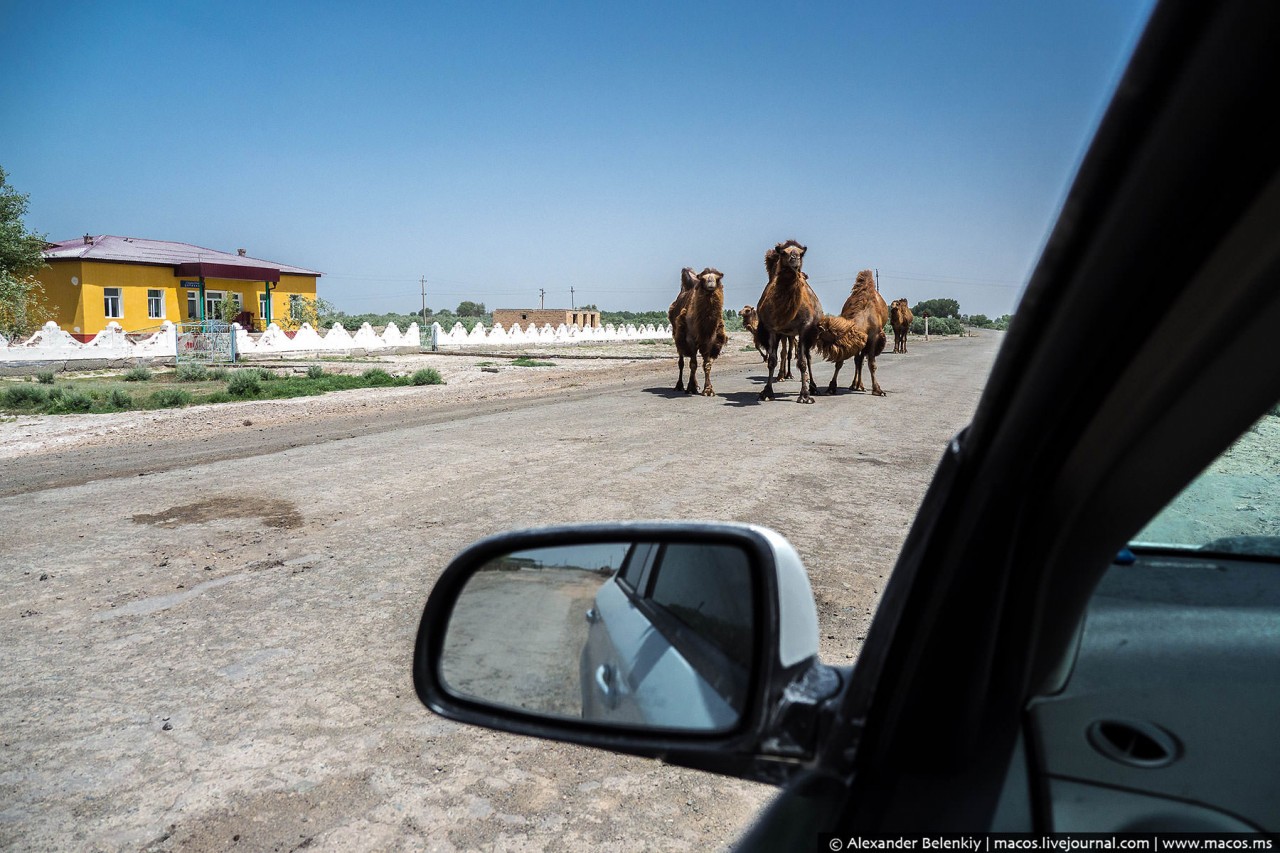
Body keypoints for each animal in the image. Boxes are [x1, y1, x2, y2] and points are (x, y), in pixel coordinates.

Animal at [675, 267, 727, 397]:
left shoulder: (710, 340)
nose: (711, 283)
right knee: (681, 361)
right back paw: (679, 386)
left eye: (717, 278)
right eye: (703, 279)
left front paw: (708, 390)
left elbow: (707, 364)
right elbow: (693, 364)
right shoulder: (690, 339)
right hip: (679, 336)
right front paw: (690, 388)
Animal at [752, 235, 824, 402]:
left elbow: (802, 362)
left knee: (808, 357)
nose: (794, 258)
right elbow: (772, 361)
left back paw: (813, 387)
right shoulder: (772, 329)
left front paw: (805, 395)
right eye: (783, 253)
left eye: (801, 254)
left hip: (809, 333)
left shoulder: (804, 328)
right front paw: (767, 392)